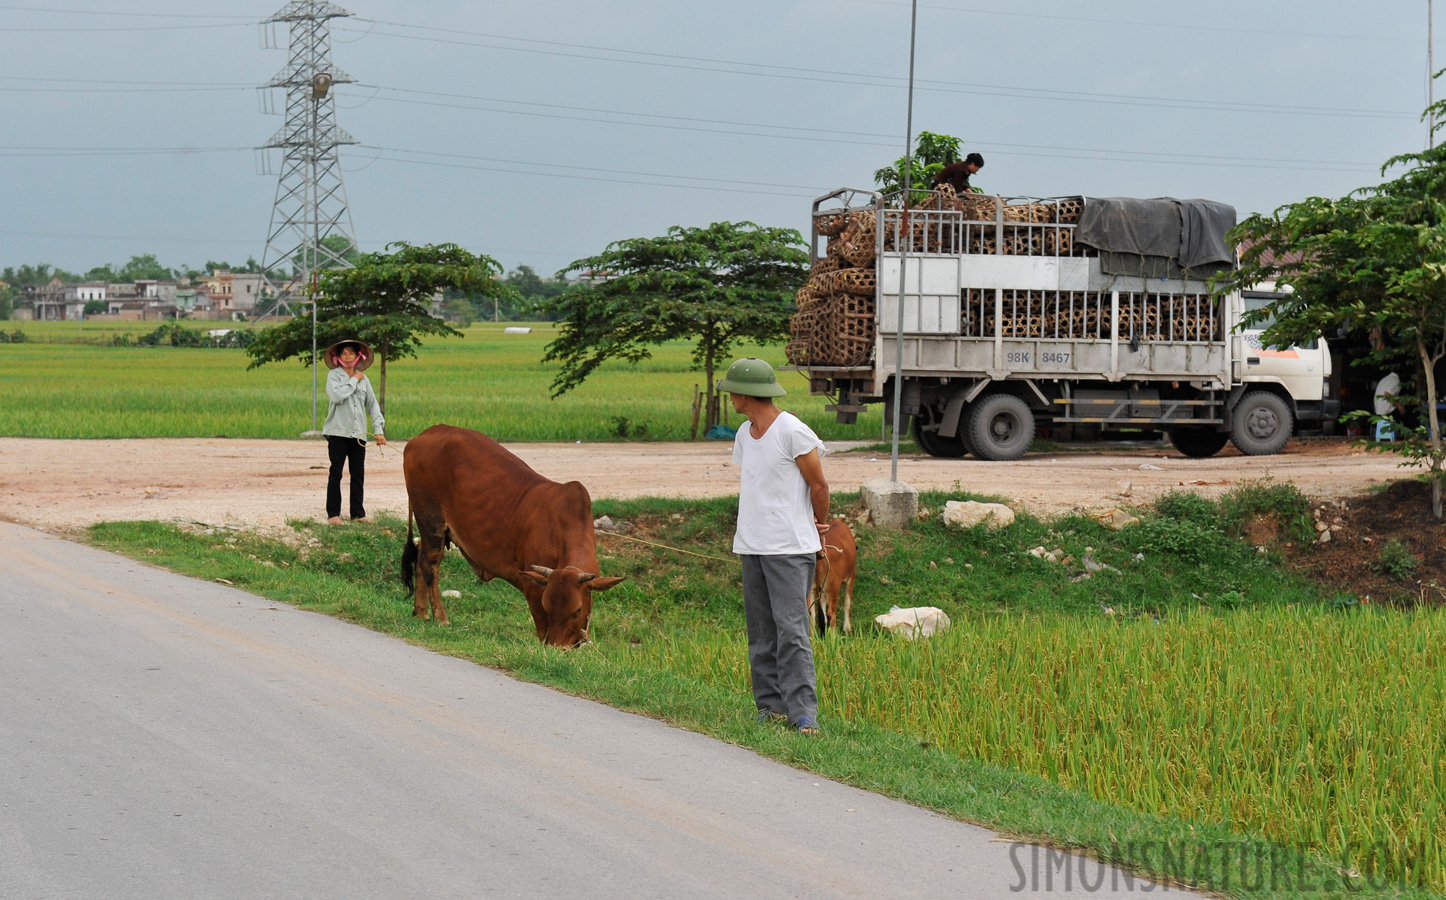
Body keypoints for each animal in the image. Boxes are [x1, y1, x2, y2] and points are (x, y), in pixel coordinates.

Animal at [399, 425, 624, 648]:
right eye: (547, 606)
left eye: (577, 609)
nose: (557, 647)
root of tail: (428, 432)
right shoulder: (532, 587)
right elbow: (541, 627)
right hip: (431, 519)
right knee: (429, 564)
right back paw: (441, 618)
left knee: (419, 556)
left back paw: (421, 613)